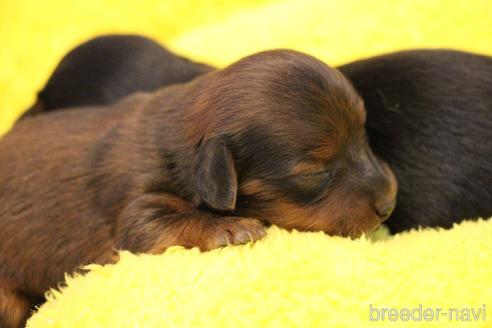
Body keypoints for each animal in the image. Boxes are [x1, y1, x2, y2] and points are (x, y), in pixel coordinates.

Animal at [0, 49, 396, 328]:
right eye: (314, 171)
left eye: (364, 135)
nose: (389, 204)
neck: (181, 143)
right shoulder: (135, 210)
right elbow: (162, 222)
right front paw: (229, 228)